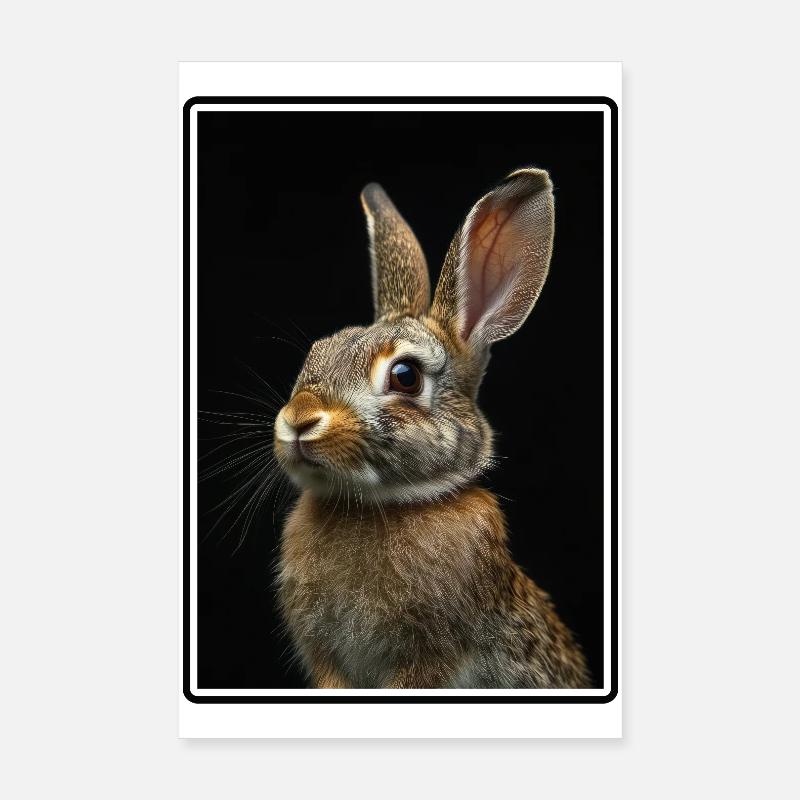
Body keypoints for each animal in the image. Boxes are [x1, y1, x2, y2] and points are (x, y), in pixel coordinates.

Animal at [273, 168, 591, 689]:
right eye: (317, 353)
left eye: (405, 376)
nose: (299, 421)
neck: (379, 503)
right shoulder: (327, 662)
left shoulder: (427, 660)